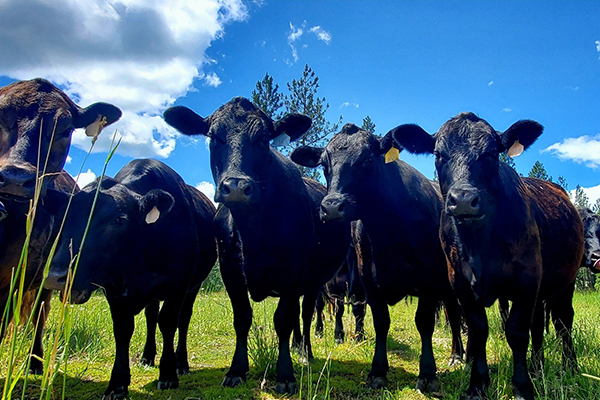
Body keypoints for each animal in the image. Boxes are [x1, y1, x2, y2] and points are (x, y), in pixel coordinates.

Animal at [45, 159, 217, 400]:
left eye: (119, 219)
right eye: (64, 216)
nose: (56, 276)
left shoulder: (178, 282)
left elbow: (168, 322)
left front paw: (168, 374)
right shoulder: (113, 288)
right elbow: (123, 329)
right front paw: (117, 385)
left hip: (193, 286)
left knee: (182, 320)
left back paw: (181, 363)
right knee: (151, 317)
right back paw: (147, 357)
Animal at [164, 97, 350, 394]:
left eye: (263, 139)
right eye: (213, 137)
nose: (236, 187)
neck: (255, 232)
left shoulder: (294, 269)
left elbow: (284, 318)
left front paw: (285, 375)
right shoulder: (230, 268)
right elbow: (242, 318)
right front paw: (236, 370)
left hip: (313, 281)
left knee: (305, 313)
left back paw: (304, 353)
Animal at [292, 123, 466, 392]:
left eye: (365, 160)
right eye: (324, 164)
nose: (331, 207)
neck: (390, 230)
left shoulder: (428, 282)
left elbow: (424, 322)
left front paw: (428, 374)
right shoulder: (368, 281)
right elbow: (380, 321)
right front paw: (377, 372)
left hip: (449, 284)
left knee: (455, 315)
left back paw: (457, 356)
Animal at [392, 112, 584, 400]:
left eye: (492, 153)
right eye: (438, 154)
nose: (463, 199)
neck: (479, 244)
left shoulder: (527, 278)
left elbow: (517, 332)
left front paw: (522, 387)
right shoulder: (460, 282)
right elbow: (479, 329)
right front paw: (477, 384)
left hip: (565, 283)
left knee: (563, 323)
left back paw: (570, 368)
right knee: (539, 325)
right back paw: (537, 368)